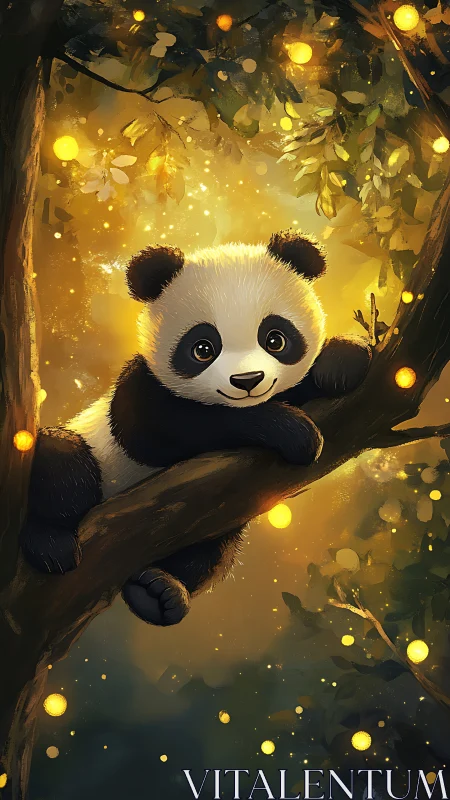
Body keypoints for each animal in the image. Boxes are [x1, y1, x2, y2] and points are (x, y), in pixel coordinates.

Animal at [21, 230, 371, 626]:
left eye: (275, 339)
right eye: (203, 348)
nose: (247, 381)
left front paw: (341, 361)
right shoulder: (139, 390)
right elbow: (163, 428)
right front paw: (295, 432)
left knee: (211, 553)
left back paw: (160, 591)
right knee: (62, 462)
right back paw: (52, 543)